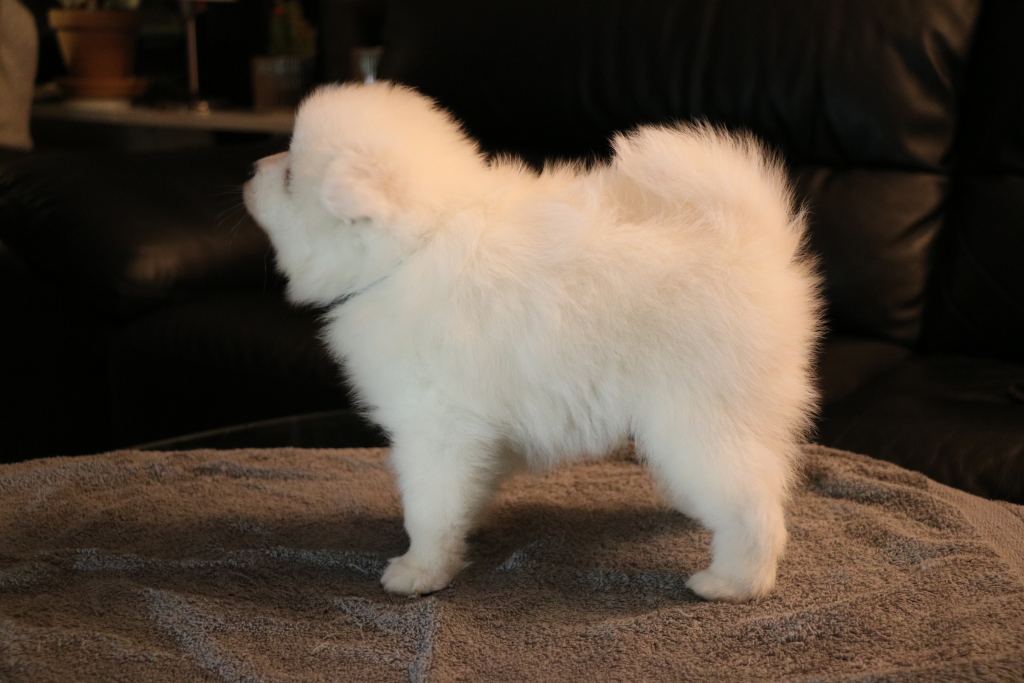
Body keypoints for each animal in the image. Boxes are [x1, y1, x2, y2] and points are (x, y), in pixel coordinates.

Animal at [244, 81, 820, 602]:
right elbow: (467, 490)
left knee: (752, 505)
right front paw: (466, 531)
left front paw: (420, 569)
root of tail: (751, 242)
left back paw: (732, 582)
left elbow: (429, 505)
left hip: (697, 413)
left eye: (291, 174)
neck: (419, 244)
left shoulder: (435, 423)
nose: (250, 168)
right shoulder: (474, 428)